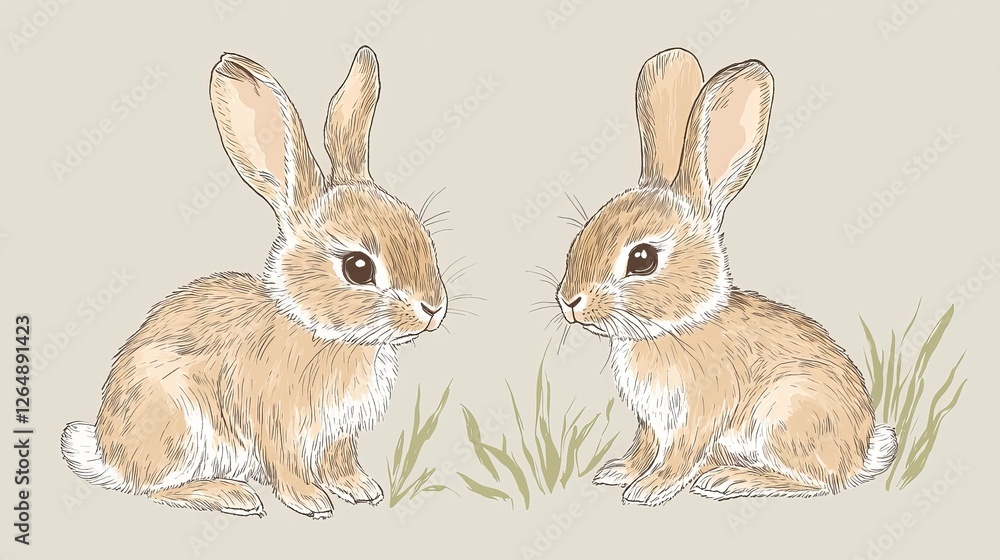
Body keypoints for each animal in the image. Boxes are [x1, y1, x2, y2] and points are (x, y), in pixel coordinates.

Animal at [60, 46, 448, 518]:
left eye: (426, 238)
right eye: (358, 268)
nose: (433, 308)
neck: (328, 336)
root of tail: (108, 454)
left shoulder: (339, 436)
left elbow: (341, 462)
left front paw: (361, 489)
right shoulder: (275, 425)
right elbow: (286, 467)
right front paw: (311, 501)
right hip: (179, 423)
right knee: (155, 489)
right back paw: (232, 495)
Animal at [554, 48, 897, 506]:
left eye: (642, 259)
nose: (569, 301)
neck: (674, 328)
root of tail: (861, 454)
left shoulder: (700, 414)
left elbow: (679, 455)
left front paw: (648, 489)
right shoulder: (651, 422)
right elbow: (643, 446)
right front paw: (618, 471)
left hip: (784, 416)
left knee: (818, 482)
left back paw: (731, 479)